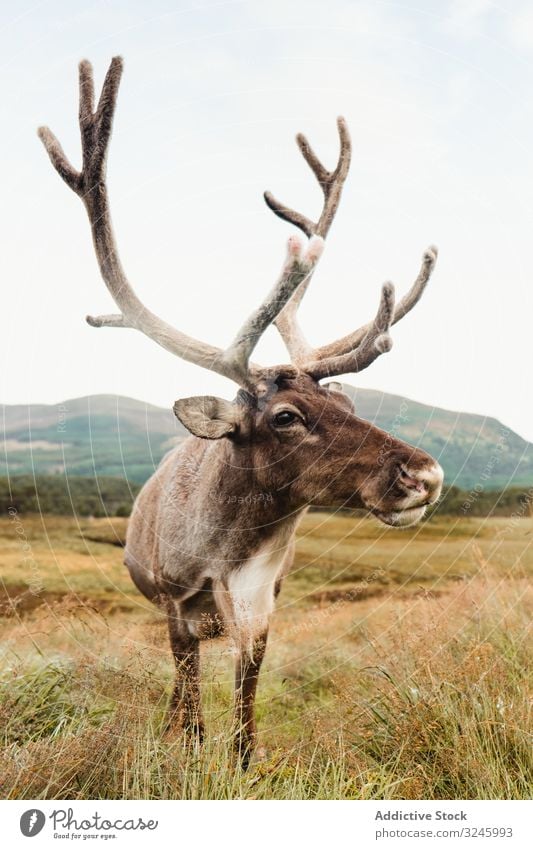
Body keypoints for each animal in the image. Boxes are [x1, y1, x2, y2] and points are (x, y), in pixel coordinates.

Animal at [39, 56, 442, 764]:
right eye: (285, 416)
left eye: (345, 398)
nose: (424, 474)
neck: (235, 562)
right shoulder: (176, 600)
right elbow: (193, 698)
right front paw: (190, 747)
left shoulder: (264, 607)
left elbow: (247, 704)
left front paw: (245, 763)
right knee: (181, 681)